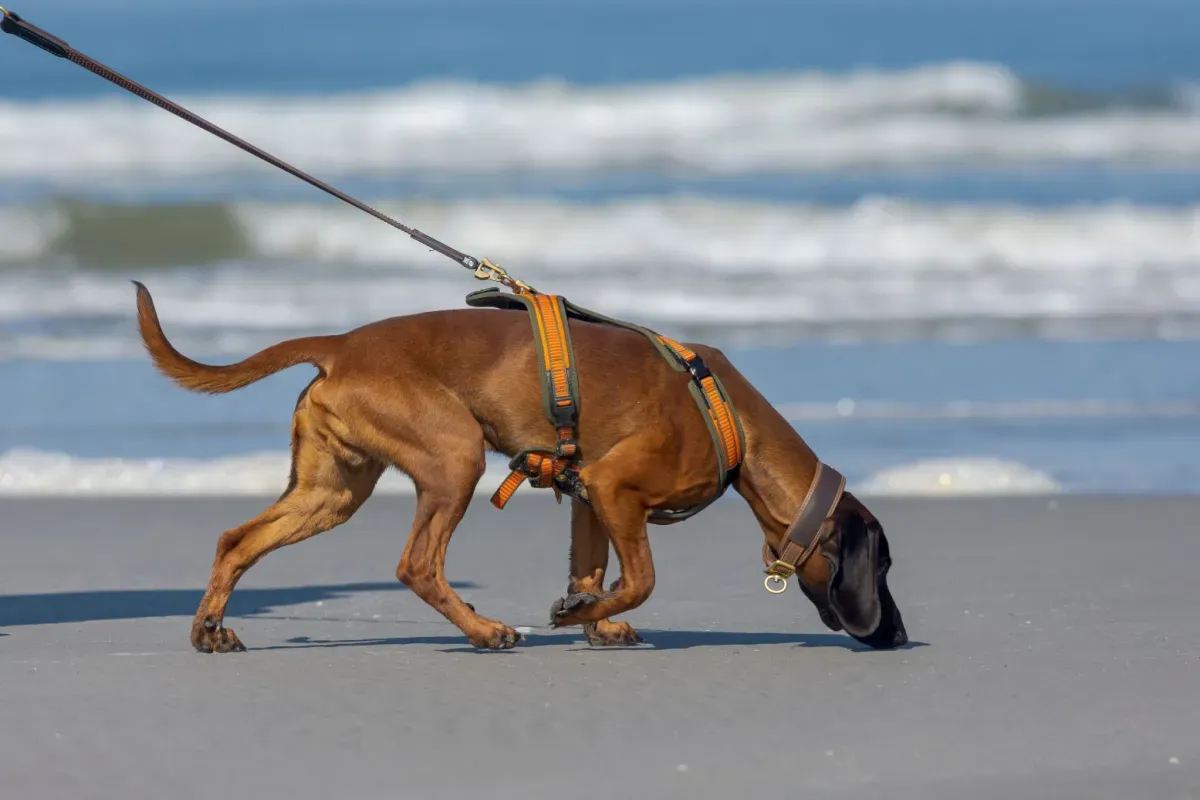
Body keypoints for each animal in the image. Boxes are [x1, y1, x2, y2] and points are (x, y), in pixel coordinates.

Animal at [131, 281, 902, 652]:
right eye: (885, 569)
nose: (895, 635)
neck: (732, 422)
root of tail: (342, 344)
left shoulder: (591, 497)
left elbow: (592, 571)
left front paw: (595, 620)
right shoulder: (614, 490)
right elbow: (641, 579)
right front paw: (579, 617)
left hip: (331, 492)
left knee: (237, 541)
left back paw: (209, 629)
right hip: (454, 456)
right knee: (418, 565)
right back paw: (483, 632)